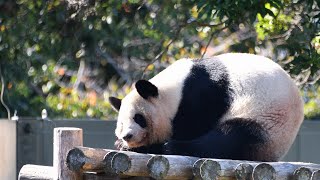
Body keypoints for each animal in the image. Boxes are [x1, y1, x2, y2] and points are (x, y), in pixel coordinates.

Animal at [109, 52, 304, 161]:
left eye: (138, 118)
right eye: (120, 124)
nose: (127, 136)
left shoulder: (202, 95)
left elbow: (194, 125)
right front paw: (121, 144)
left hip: (265, 120)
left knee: (230, 138)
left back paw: (171, 147)